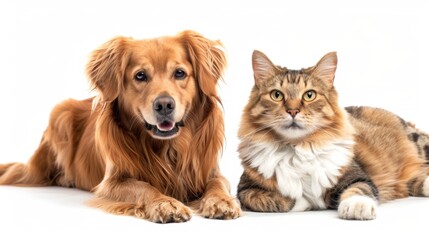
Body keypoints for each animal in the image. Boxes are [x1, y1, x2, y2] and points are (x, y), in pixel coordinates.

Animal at [0, 30, 241, 223]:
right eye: (140, 76)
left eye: (180, 73)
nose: (164, 105)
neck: (168, 148)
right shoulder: (110, 183)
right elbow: (144, 187)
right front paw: (165, 203)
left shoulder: (211, 171)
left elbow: (218, 184)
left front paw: (221, 201)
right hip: (60, 113)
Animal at [236, 50, 428, 219]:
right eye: (276, 95)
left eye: (309, 95)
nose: (293, 111)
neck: (298, 147)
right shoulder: (245, 189)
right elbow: (276, 201)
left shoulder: (357, 176)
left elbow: (359, 190)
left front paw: (357, 207)